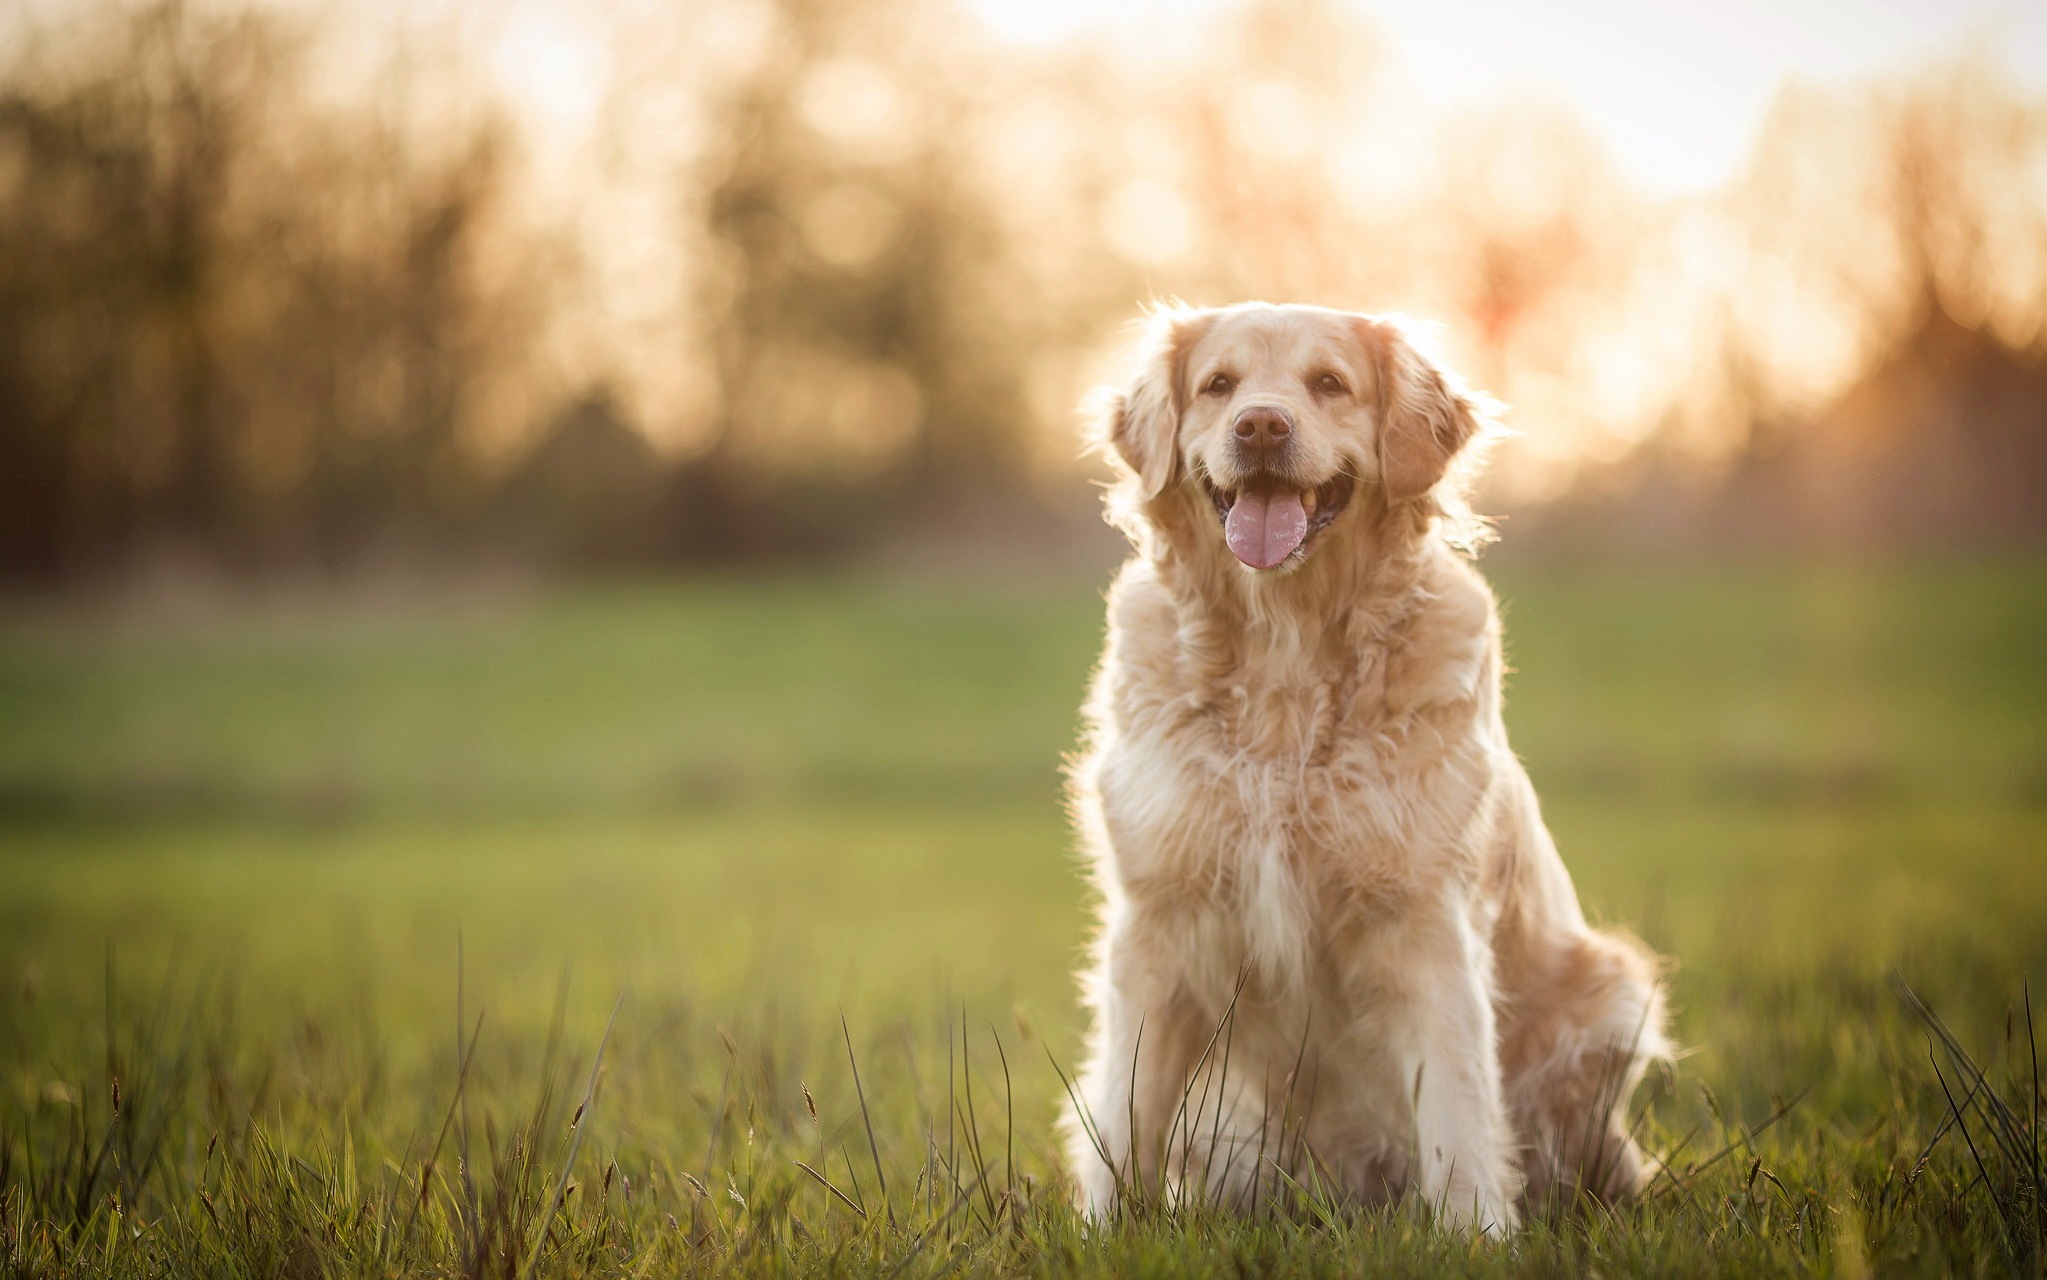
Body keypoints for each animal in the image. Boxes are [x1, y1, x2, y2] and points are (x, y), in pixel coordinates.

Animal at [1064, 305, 1670, 1236]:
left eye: (1328, 384)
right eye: (1218, 386)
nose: (1260, 427)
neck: (1284, 656)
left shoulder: (1423, 915)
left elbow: (1456, 1106)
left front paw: (1476, 1237)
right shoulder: (1159, 916)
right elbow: (1123, 1114)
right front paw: (1103, 1237)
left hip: (1608, 993)